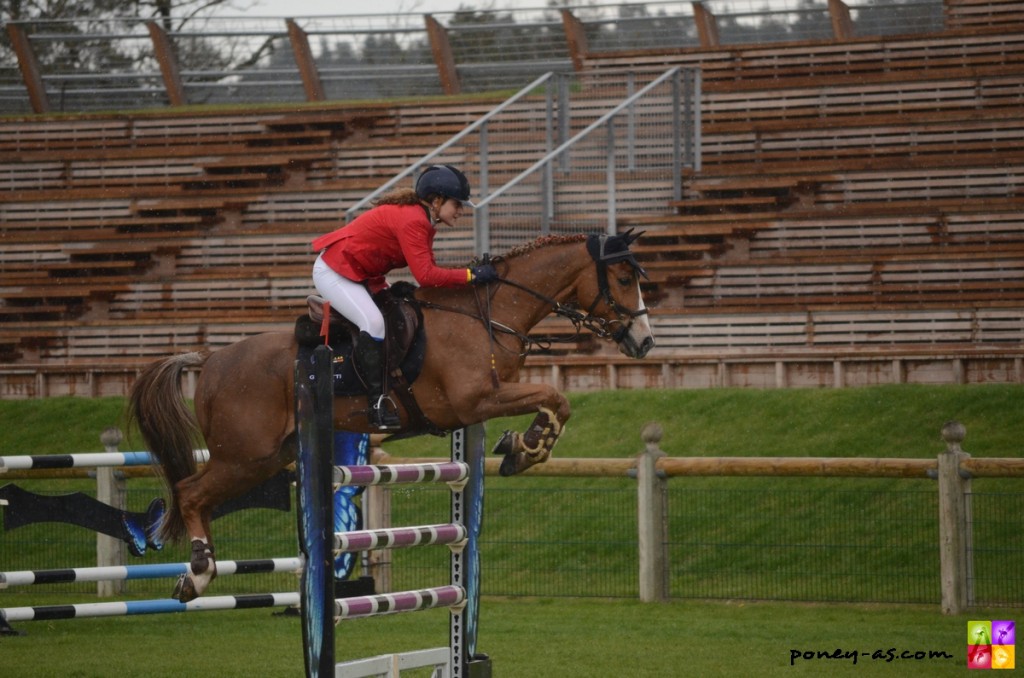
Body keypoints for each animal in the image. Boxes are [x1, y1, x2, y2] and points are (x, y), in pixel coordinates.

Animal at [128, 231, 655, 602]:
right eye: (624, 280)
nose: (644, 342)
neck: (486, 314)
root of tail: (211, 360)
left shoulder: (488, 399)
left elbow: (555, 400)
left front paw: (520, 447)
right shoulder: (475, 401)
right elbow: (553, 395)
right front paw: (527, 449)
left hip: (266, 456)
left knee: (196, 494)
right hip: (244, 457)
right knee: (190, 493)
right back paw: (197, 574)